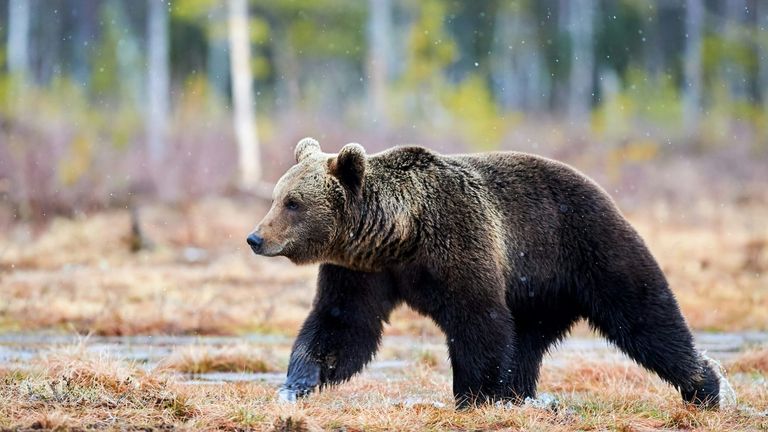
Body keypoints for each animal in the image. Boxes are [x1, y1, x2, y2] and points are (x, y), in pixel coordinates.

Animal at [246, 137, 731, 409]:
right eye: (277, 196)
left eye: (292, 202)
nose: (255, 237)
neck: (398, 235)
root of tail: (600, 187)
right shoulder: (361, 271)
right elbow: (342, 325)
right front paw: (298, 382)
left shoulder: (458, 242)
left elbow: (478, 319)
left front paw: (477, 395)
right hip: (538, 292)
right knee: (529, 340)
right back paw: (521, 393)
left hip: (584, 245)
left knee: (644, 313)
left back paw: (705, 386)